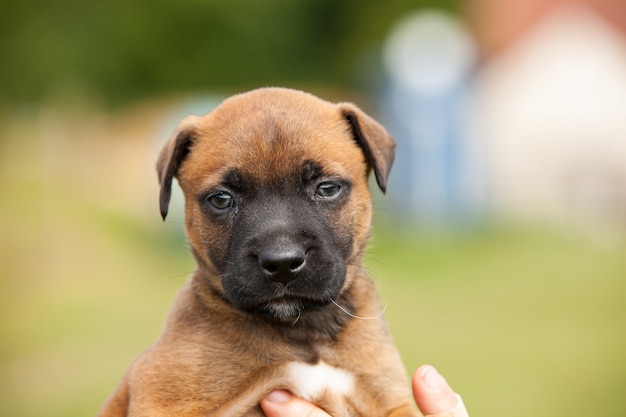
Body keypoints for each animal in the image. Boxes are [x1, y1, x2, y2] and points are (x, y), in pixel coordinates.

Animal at [97, 86, 416, 414]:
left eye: (327, 189)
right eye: (221, 199)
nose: (283, 263)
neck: (303, 332)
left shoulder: (391, 400)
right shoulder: (163, 401)